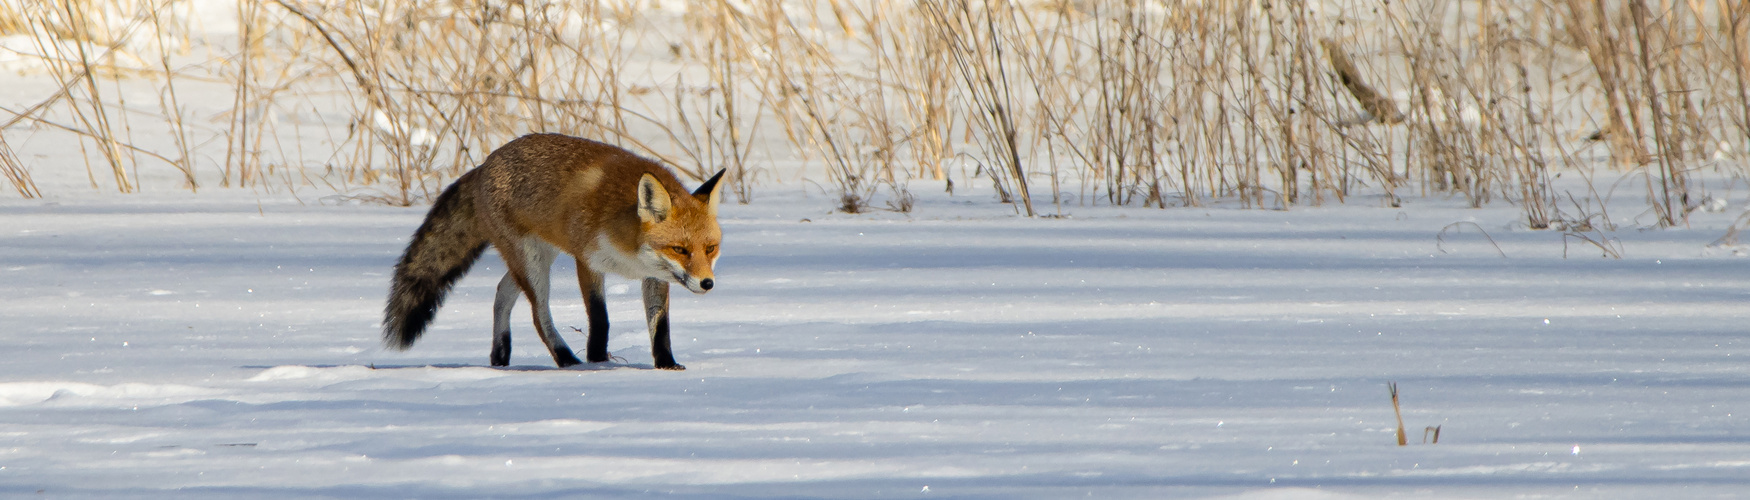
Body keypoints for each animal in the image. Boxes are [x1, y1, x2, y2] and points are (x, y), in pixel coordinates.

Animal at [385, 134, 724, 368]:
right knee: (538, 314)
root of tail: (483, 165)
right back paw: (566, 359)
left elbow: (660, 326)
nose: (708, 284)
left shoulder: (654, 275)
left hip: (535, 260)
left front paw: (666, 364)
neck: (629, 249)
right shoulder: (587, 261)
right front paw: (597, 361)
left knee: (502, 293)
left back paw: (500, 355)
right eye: (680, 249)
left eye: (710, 248)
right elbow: (600, 318)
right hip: (532, 265)